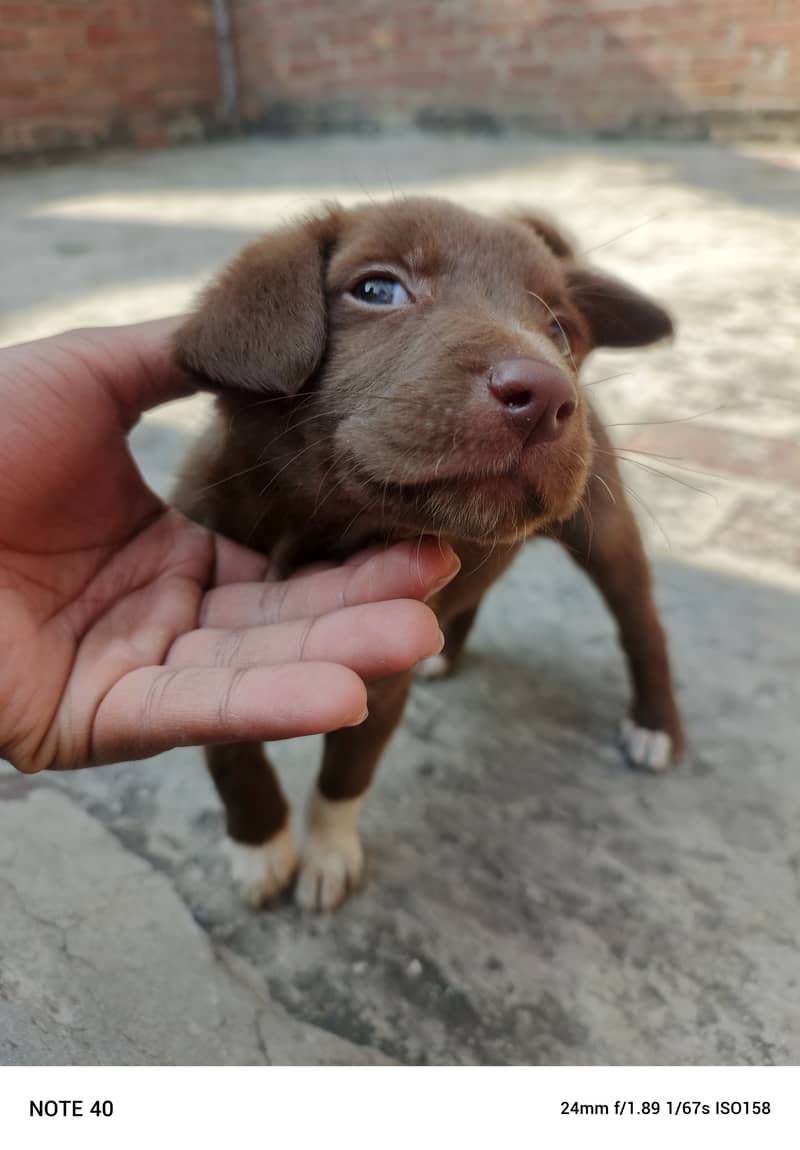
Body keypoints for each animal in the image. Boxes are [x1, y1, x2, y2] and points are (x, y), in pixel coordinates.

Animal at [172, 200, 685, 915]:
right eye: (376, 289)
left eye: (559, 329)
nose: (549, 394)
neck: (315, 528)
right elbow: (231, 760)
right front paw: (260, 851)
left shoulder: (381, 681)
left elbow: (345, 776)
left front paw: (328, 857)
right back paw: (447, 652)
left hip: (605, 529)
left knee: (643, 627)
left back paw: (654, 724)